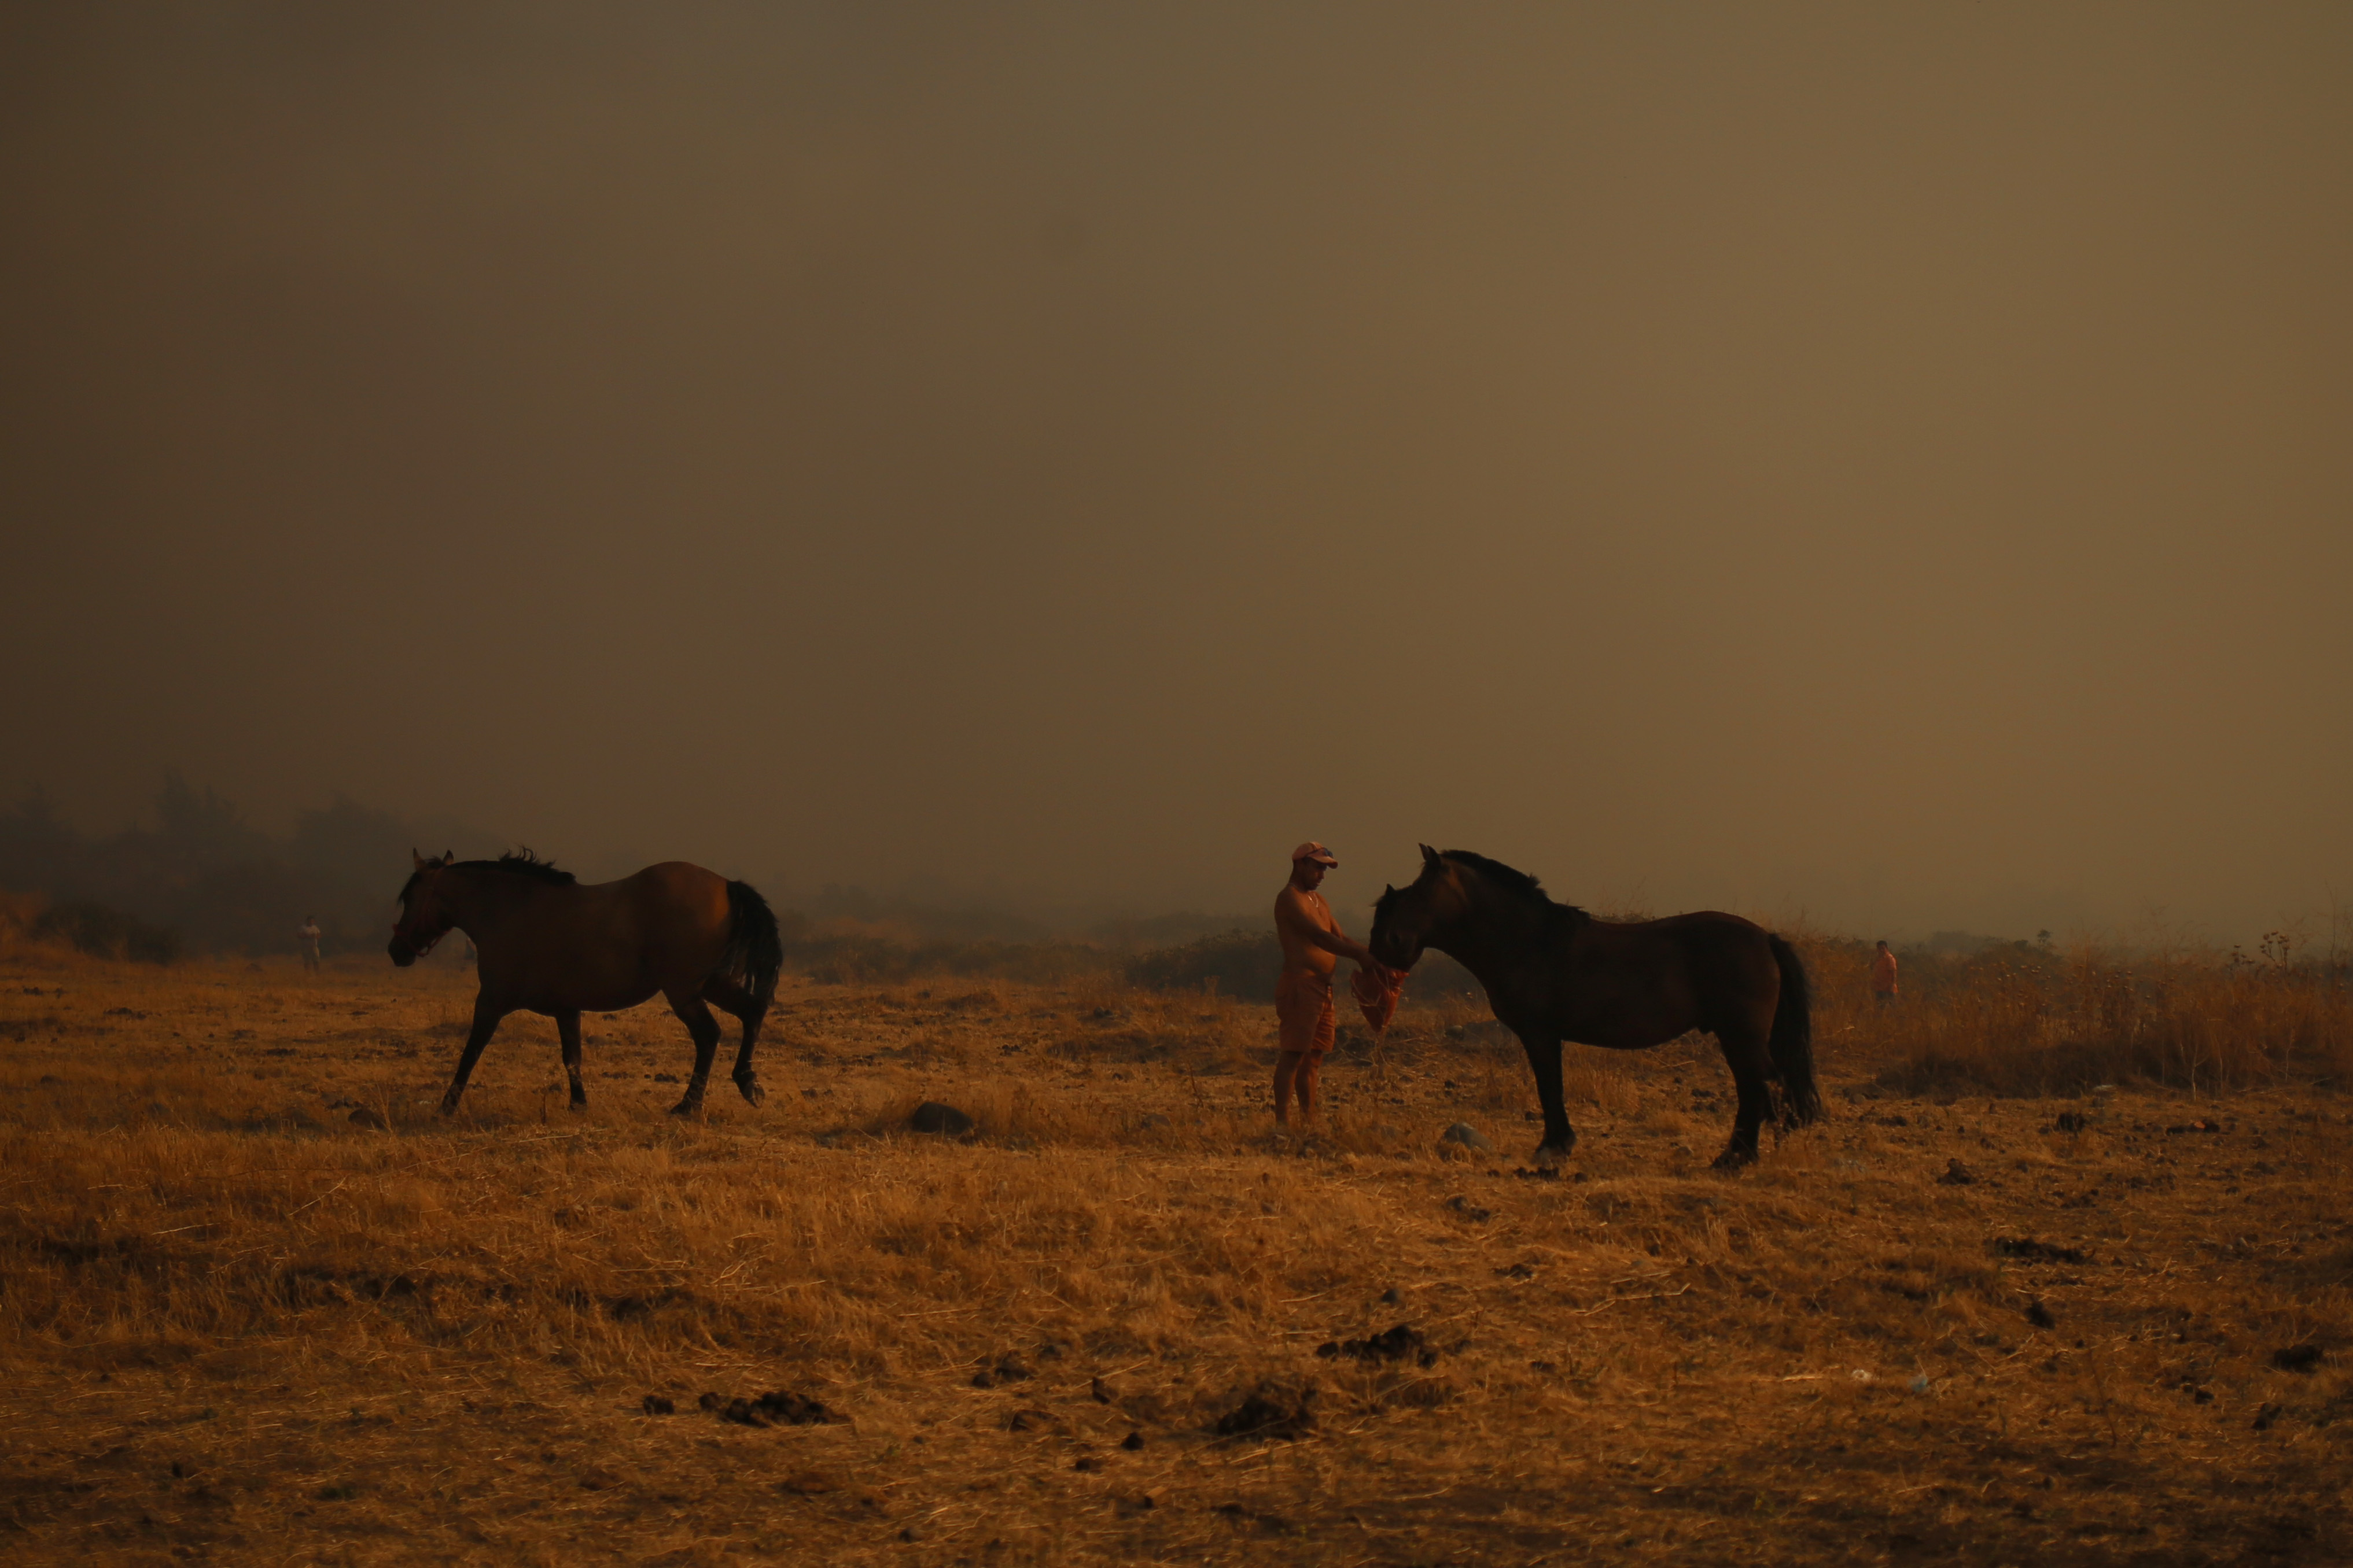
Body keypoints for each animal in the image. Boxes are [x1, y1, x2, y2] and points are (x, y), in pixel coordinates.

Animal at [385, 851, 786, 1123]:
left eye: (410, 898)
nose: (396, 951)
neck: (512, 910)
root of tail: (726, 886)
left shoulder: (491, 1002)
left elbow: (470, 1054)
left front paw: (446, 1107)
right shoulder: (567, 1009)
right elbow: (572, 1059)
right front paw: (579, 1104)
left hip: (684, 991)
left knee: (709, 1035)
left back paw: (689, 1104)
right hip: (709, 984)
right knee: (752, 1012)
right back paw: (748, 1084)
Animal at [1364, 846, 1816, 1165]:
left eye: (1421, 889)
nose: (1385, 940)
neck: (1531, 942)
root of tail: (1765, 938)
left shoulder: (1540, 1033)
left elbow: (1549, 1086)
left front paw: (1553, 1147)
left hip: (1740, 1035)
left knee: (1760, 1087)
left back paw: (1736, 1159)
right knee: (1753, 1088)